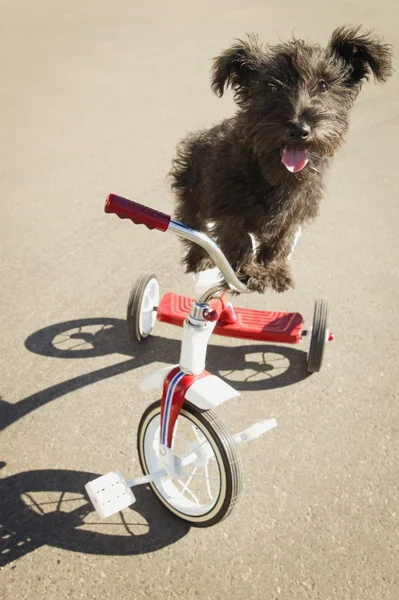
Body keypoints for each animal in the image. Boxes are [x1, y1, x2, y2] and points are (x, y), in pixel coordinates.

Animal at [172, 25, 394, 292]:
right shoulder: (228, 206)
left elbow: (280, 240)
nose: (298, 129)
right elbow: (239, 238)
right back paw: (200, 257)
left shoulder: (294, 213)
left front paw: (271, 270)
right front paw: (247, 270)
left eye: (324, 85)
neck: (272, 174)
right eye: (273, 87)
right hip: (191, 194)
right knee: (194, 226)